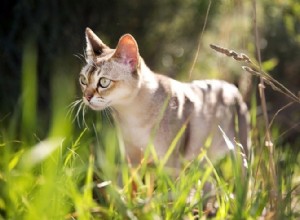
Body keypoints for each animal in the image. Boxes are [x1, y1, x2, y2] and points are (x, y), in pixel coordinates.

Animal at [78, 27, 250, 168]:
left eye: (104, 82)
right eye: (83, 80)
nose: (86, 97)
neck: (132, 115)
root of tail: (233, 88)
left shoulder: (169, 163)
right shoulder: (132, 159)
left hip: (241, 155)